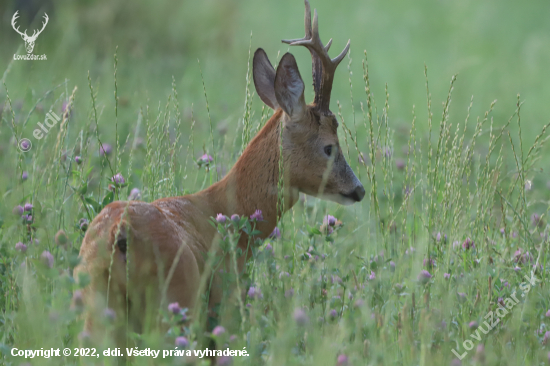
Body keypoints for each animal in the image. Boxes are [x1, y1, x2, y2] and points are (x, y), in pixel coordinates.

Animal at [74, 0, 366, 346]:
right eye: (329, 147)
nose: (359, 189)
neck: (229, 212)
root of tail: (119, 233)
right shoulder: (226, 301)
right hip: (176, 305)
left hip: (95, 307)